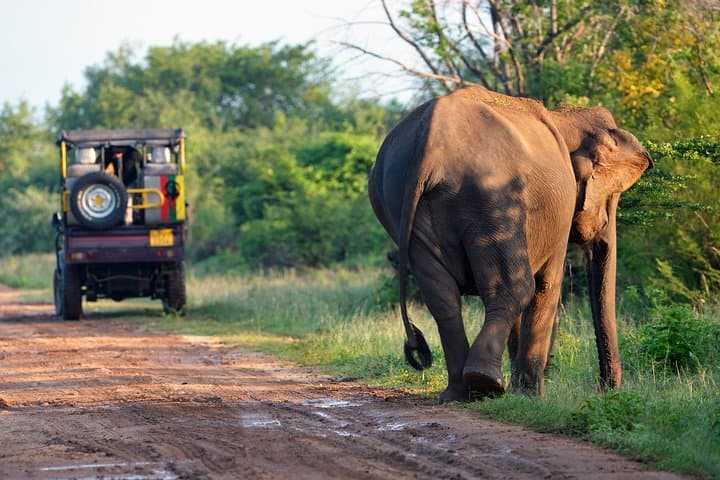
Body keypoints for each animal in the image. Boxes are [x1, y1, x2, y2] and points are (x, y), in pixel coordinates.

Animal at [368, 86, 652, 403]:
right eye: (612, 195)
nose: (604, 389)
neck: (564, 118)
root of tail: (427, 146)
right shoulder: (560, 211)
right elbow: (547, 285)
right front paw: (531, 397)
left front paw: (520, 394)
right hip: (492, 196)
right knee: (517, 287)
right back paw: (485, 383)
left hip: (400, 203)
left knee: (443, 298)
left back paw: (460, 394)